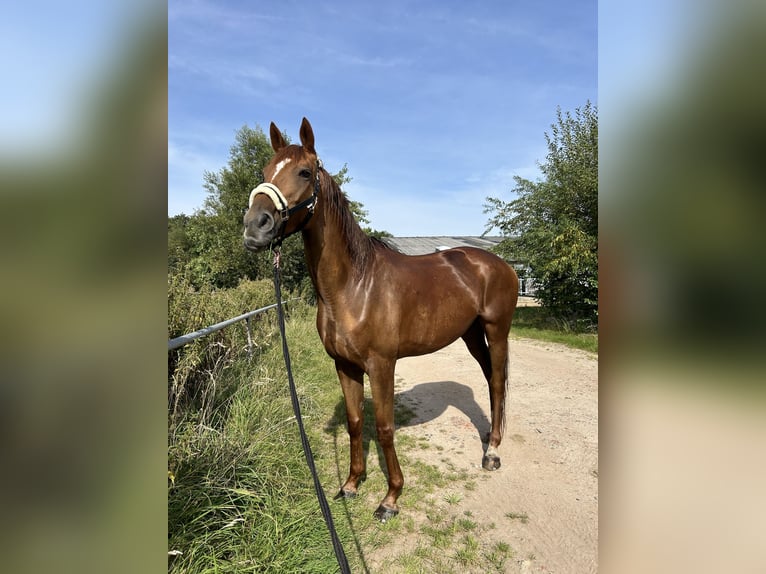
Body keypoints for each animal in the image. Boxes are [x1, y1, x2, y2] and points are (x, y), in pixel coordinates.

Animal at [244, 117, 520, 520]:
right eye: (265, 172)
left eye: (305, 172)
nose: (255, 226)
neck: (354, 286)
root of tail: (500, 263)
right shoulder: (344, 365)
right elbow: (356, 422)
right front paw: (351, 484)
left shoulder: (382, 365)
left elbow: (386, 427)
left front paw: (391, 498)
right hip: (471, 334)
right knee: (488, 379)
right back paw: (488, 439)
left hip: (497, 330)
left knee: (498, 382)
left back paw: (493, 452)